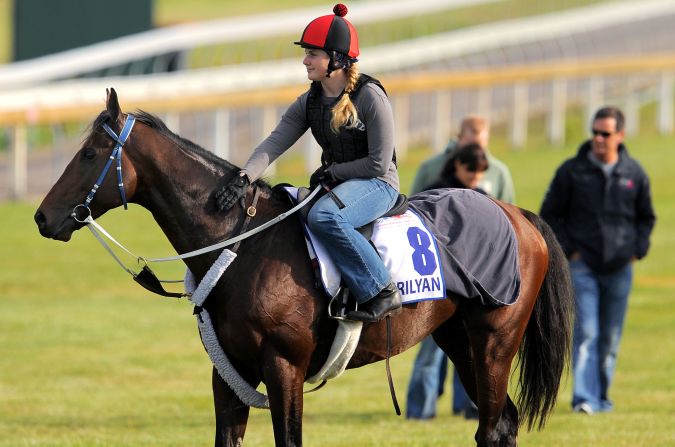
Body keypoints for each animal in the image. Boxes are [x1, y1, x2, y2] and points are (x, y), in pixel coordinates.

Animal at [34, 90, 572, 447]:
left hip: (494, 341)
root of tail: (514, 213)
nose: (42, 216)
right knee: (501, 424)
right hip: (457, 339)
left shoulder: (284, 366)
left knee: (493, 426)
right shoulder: (228, 373)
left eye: (88, 154)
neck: (243, 246)